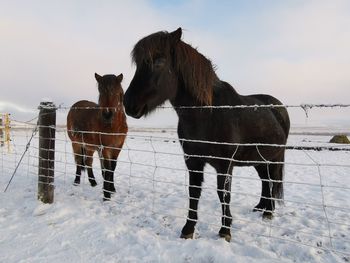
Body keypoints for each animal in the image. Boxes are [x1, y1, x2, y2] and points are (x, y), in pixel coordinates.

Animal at [66, 73, 128, 201]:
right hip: (76, 144)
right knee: (79, 161)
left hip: (89, 146)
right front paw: (106, 195)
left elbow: (112, 167)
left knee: (88, 162)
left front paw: (112, 189)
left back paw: (93, 182)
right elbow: (107, 168)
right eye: (100, 91)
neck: (113, 126)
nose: (107, 114)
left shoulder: (117, 147)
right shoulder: (104, 148)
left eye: (116, 91)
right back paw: (76, 181)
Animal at [123, 28, 290, 241]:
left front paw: (225, 230)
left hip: (275, 157)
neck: (208, 113)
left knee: (273, 180)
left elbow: (223, 194)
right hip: (259, 159)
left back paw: (268, 211)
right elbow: (194, 192)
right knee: (265, 180)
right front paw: (188, 229)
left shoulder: (225, 165)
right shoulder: (193, 161)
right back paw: (261, 207)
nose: (129, 104)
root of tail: (278, 107)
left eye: (159, 62)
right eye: (138, 64)